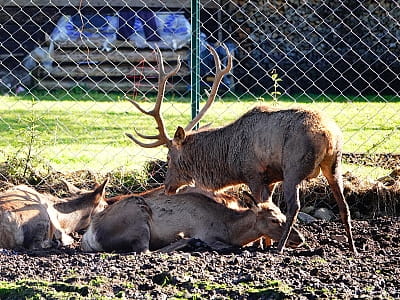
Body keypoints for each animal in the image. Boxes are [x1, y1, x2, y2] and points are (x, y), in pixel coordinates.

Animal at [82, 186, 306, 252]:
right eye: (274, 220)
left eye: (283, 214)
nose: (300, 239)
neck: (229, 227)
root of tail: (90, 236)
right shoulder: (208, 233)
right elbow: (230, 246)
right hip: (137, 221)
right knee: (145, 251)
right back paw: (187, 241)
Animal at [126, 45, 358, 254]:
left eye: (168, 156)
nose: (167, 187)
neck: (228, 160)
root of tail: (329, 134)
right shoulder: (271, 178)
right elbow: (267, 204)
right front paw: (263, 242)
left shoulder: (253, 172)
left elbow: (264, 205)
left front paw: (264, 243)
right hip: (334, 165)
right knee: (344, 206)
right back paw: (353, 248)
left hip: (294, 166)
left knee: (295, 206)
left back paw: (281, 248)